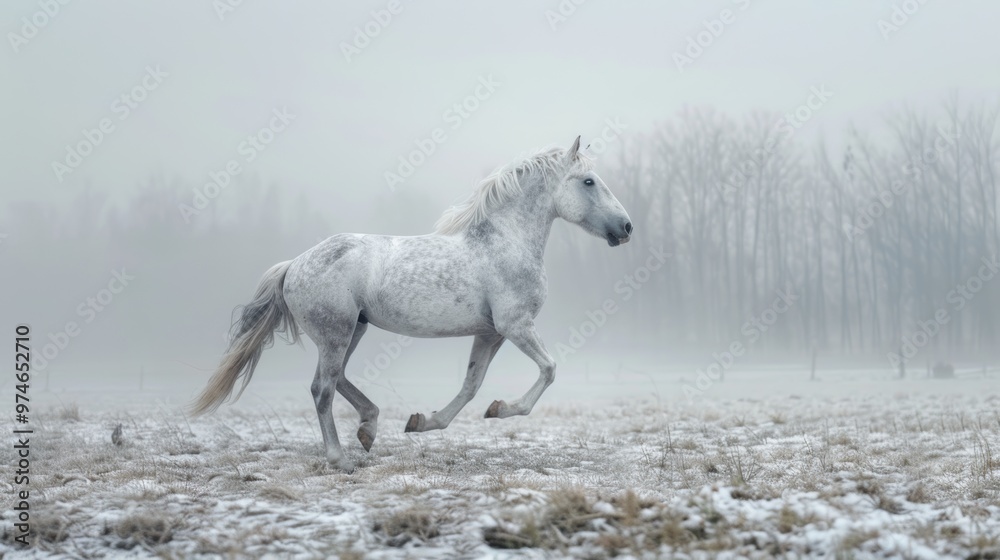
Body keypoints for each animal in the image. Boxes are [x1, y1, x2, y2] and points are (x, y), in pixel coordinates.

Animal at [190, 136, 633, 472]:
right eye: (589, 181)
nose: (626, 227)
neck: (504, 243)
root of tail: (293, 265)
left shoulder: (491, 333)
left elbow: (471, 385)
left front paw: (424, 422)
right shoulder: (516, 326)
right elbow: (549, 370)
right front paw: (503, 408)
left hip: (353, 330)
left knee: (337, 378)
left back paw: (369, 428)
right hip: (336, 333)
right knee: (322, 388)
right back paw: (340, 458)